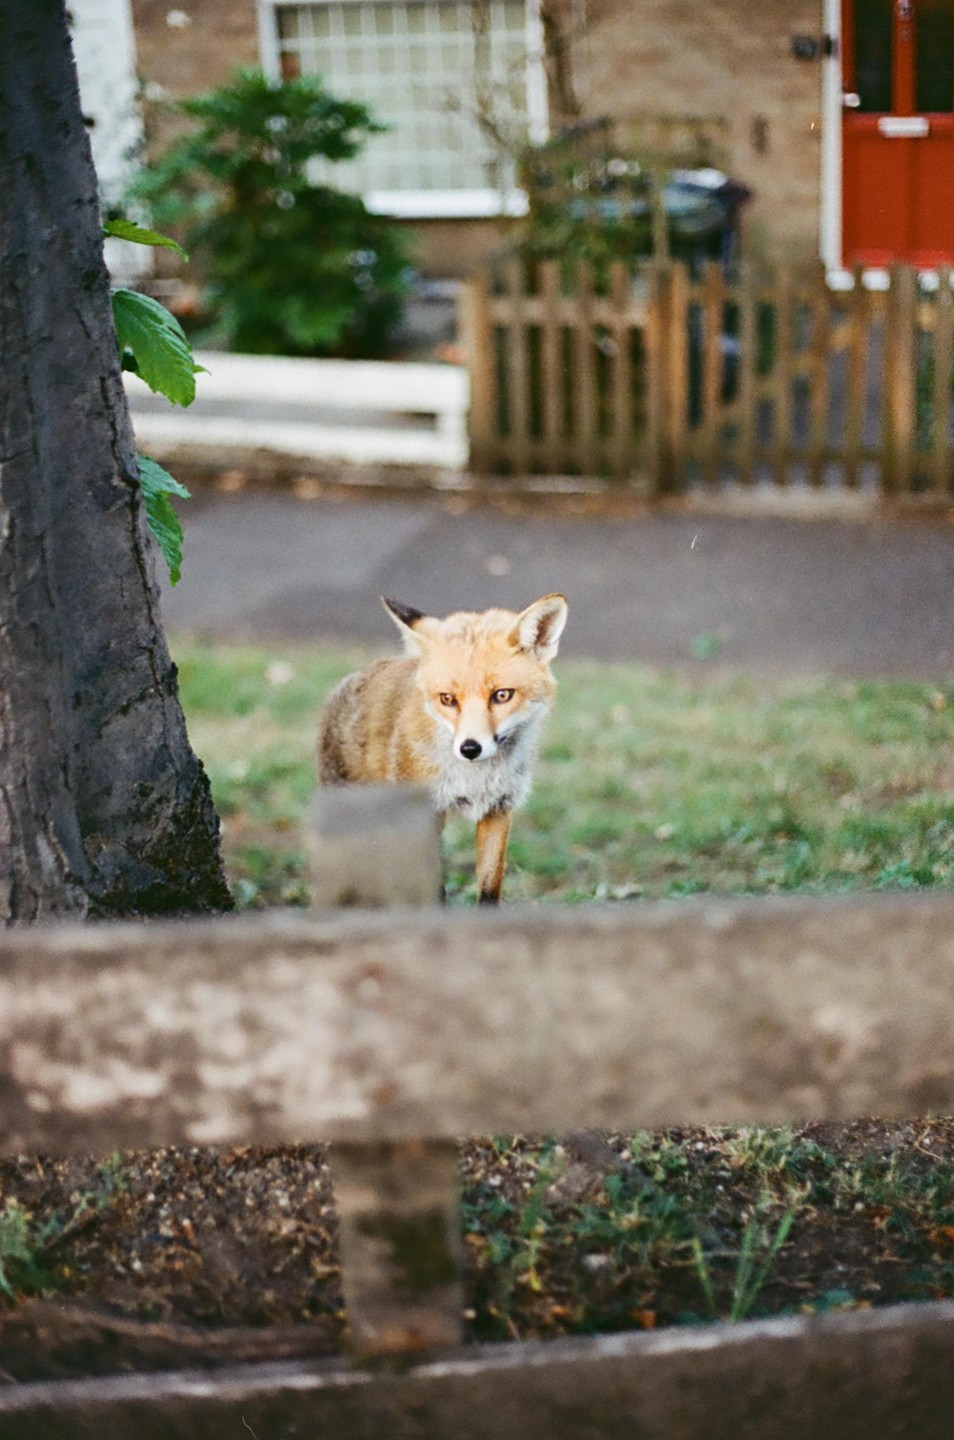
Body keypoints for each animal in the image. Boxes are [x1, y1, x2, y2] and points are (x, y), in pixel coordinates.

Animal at [317, 593, 568, 904]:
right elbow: (435, 891)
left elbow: (489, 890)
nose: (470, 748)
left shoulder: (497, 809)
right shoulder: (426, 813)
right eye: (448, 699)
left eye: (501, 695)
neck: (475, 779)